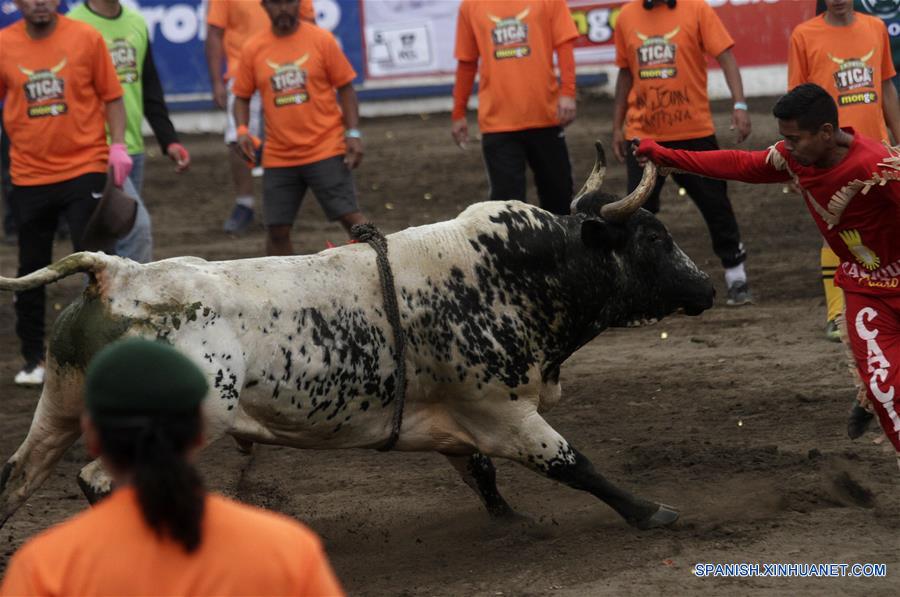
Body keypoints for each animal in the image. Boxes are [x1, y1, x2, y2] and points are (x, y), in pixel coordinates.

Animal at [0, 144, 716, 528]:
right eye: (655, 238)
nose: (706, 287)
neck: (510, 275)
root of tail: (115, 274)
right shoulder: (504, 412)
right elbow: (576, 465)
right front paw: (652, 512)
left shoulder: (456, 418)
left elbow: (482, 475)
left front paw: (513, 523)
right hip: (186, 417)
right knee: (95, 480)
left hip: (58, 408)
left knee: (18, 475)